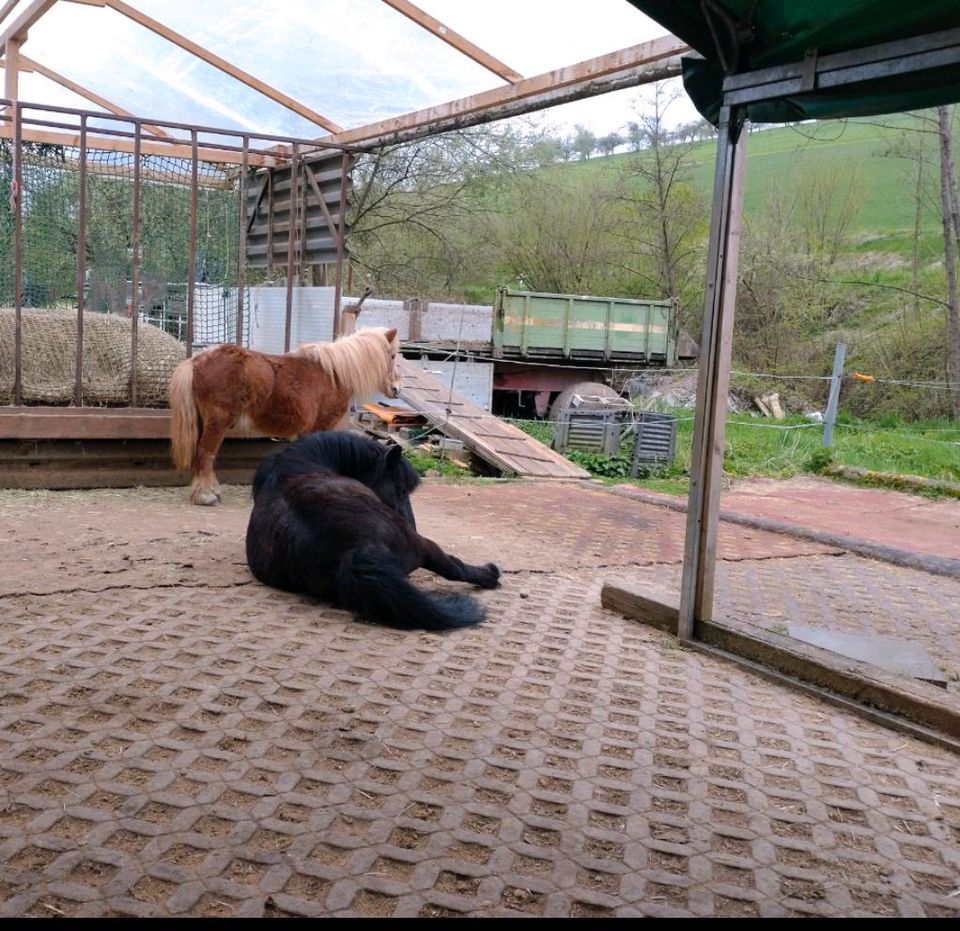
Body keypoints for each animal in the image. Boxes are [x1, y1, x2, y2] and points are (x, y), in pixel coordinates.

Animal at [169, 326, 402, 506]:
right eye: (392, 356)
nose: (397, 389)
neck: (335, 374)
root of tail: (196, 360)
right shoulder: (322, 425)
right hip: (217, 422)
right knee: (205, 454)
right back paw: (205, 496)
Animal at [246, 434, 502, 628]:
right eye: (400, 490)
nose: (411, 523)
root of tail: (354, 552)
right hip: (423, 545)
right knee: (453, 566)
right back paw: (489, 574)